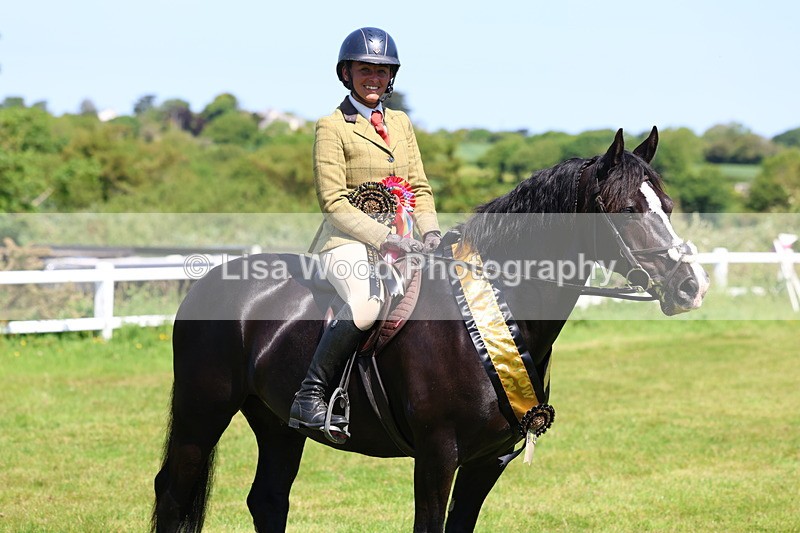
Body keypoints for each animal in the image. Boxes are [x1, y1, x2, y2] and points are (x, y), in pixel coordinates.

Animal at [151, 127, 709, 532]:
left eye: (668, 206)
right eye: (629, 211)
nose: (691, 286)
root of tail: (206, 284)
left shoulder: (488, 461)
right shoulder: (438, 456)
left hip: (276, 423)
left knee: (268, 500)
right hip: (203, 411)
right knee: (173, 492)